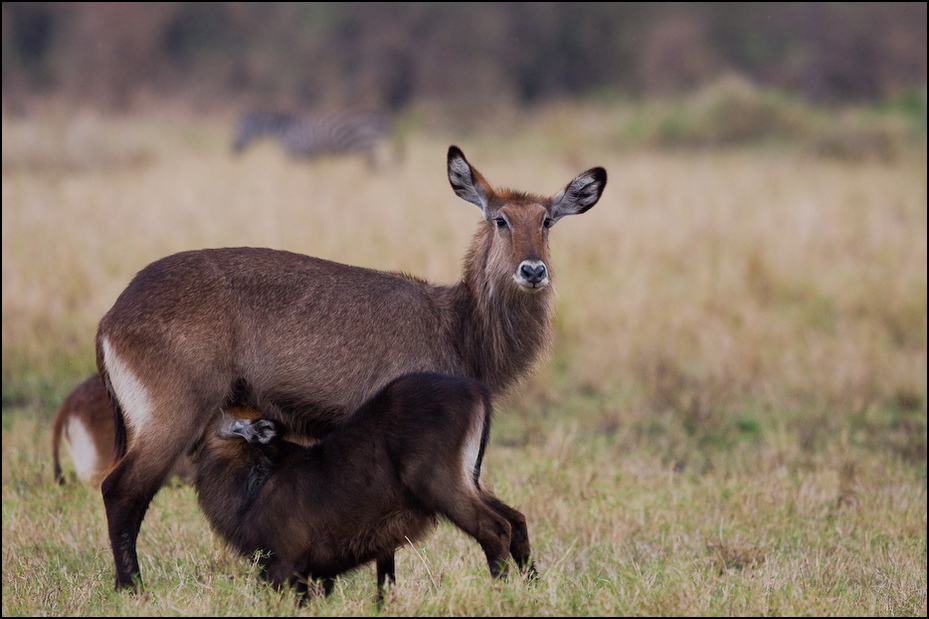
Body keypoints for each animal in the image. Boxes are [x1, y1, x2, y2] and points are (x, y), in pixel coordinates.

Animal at [92, 145, 600, 592]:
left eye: (547, 221)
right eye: (501, 219)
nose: (532, 271)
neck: (457, 326)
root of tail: (110, 318)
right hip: (172, 415)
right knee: (120, 489)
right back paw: (131, 587)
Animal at [231, 108, 396, 168]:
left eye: (241, 129)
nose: (231, 150)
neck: (283, 130)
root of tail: (380, 115)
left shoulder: (295, 155)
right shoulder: (307, 157)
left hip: (365, 146)